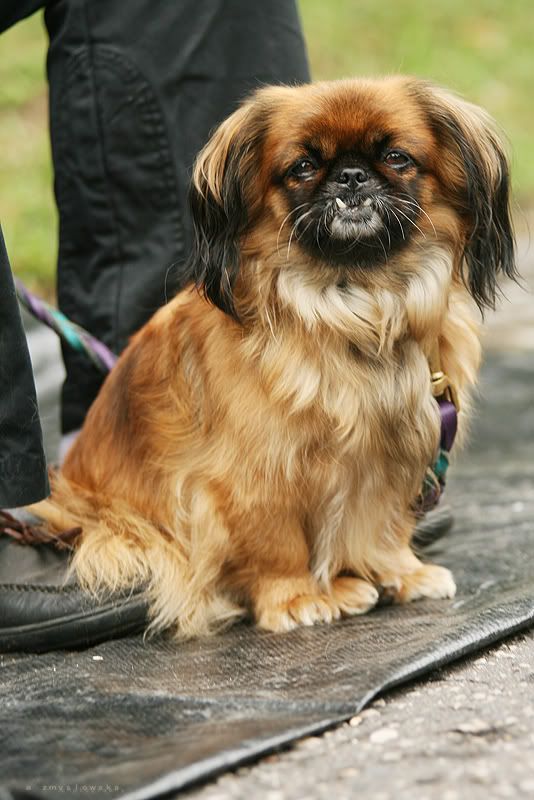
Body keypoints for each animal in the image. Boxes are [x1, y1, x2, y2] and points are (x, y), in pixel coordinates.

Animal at [33, 76, 516, 637]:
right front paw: (294, 598)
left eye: (396, 157)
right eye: (303, 167)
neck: (356, 303)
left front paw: (403, 572)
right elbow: (275, 542)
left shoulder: (390, 456)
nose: (351, 176)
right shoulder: (251, 475)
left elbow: (383, 525)